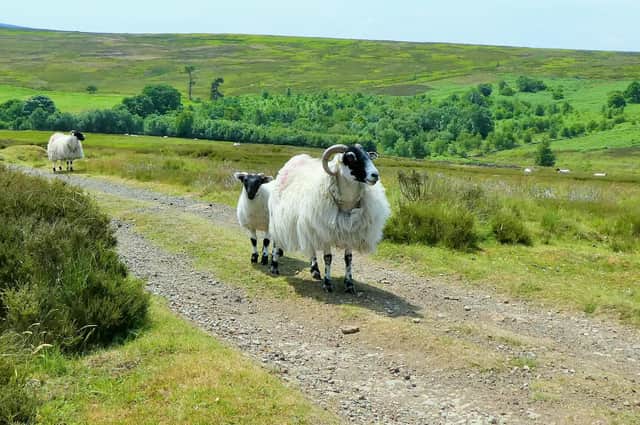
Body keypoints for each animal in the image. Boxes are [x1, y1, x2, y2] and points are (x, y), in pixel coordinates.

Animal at [268, 144, 390, 294]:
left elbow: (348, 259)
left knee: (311, 247)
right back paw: (274, 267)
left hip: (309, 224)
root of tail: (295, 159)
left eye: (368, 155)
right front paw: (327, 283)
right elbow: (328, 258)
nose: (375, 175)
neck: (346, 204)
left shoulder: (350, 230)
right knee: (276, 241)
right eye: (351, 157)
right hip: (278, 218)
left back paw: (315, 271)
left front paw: (349, 284)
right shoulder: (325, 232)